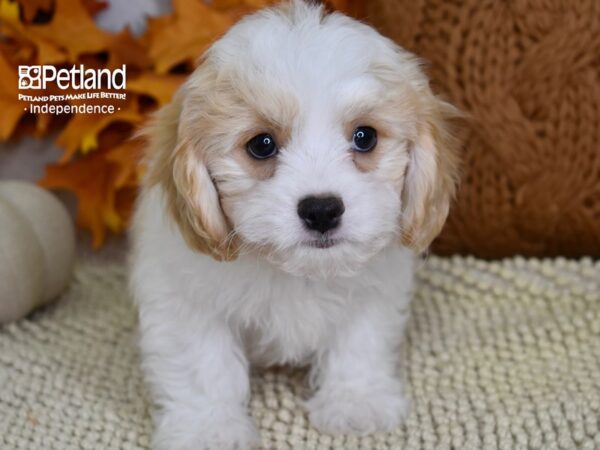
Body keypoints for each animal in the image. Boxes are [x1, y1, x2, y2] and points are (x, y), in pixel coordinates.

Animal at [130, 1, 460, 448]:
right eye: (262, 145)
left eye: (365, 137)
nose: (321, 210)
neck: (297, 272)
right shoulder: (184, 299)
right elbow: (204, 366)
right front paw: (209, 428)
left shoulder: (373, 292)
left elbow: (359, 343)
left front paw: (356, 402)